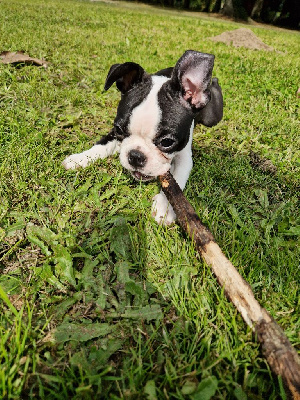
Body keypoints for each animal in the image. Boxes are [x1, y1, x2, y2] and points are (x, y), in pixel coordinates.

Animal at [63, 49, 223, 225]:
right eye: (118, 129)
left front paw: (164, 208)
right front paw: (80, 159)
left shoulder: (184, 156)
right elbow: (102, 144)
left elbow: (177, 181)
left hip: (212, 117)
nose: (135, 156)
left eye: (167, 142)